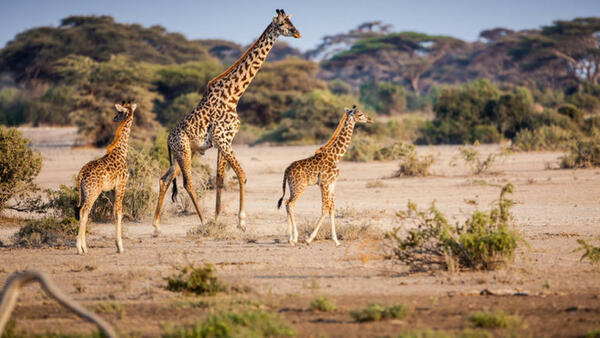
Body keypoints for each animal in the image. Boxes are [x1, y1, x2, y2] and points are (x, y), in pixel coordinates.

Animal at [75, 101, 136, 255]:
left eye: (119, 113)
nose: (114, 118)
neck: (122, 151)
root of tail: (81, 174)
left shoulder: (113, 188)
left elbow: (114, 212)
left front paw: (117, 245)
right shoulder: (122, 184)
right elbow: (119, 212)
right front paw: (120, 246)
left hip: (85, 192)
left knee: (83, 212)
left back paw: (84, 247)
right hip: (93, 192)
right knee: (83, 211)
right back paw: (79, 248)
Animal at [152, 8, 302, 235]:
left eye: (291, 21)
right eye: (283, 24)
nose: (298, 33)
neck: (234, 95)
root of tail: (168, 139)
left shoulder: (225, 141)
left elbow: (220, 180)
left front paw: (218, 218)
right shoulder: (222, 140)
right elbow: (241, 175)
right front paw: (240, 222)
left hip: (183, 153)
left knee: (164, 180)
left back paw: (156, 225)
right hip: (184, 151)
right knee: (187, 183)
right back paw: (202, 221)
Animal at [278, 105, 372, 246]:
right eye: (360, 114)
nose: (370, 119)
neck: (336, 156)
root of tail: (286, 170)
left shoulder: (332, 183)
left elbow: (332, 208)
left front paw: (336, 241)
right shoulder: (324, 183)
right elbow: (325, 209)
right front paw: (309, 239)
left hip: (293, 187)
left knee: (286, 202)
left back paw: (291, 238)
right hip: (300, 186)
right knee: (290, 204)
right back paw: (294, 239)